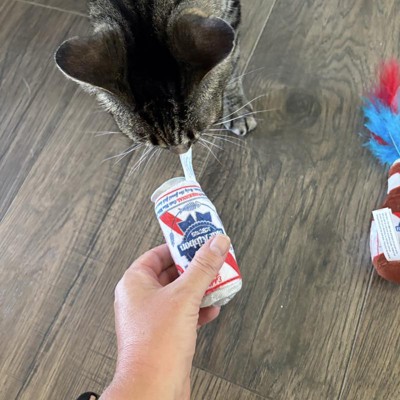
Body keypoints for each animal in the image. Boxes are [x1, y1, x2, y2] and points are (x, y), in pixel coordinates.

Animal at [55, 0, 257, 154]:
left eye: (197, 132)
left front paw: (238, 110)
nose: (180, 152)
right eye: (156, 144)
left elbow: (232, 62)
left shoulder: (231, 13)